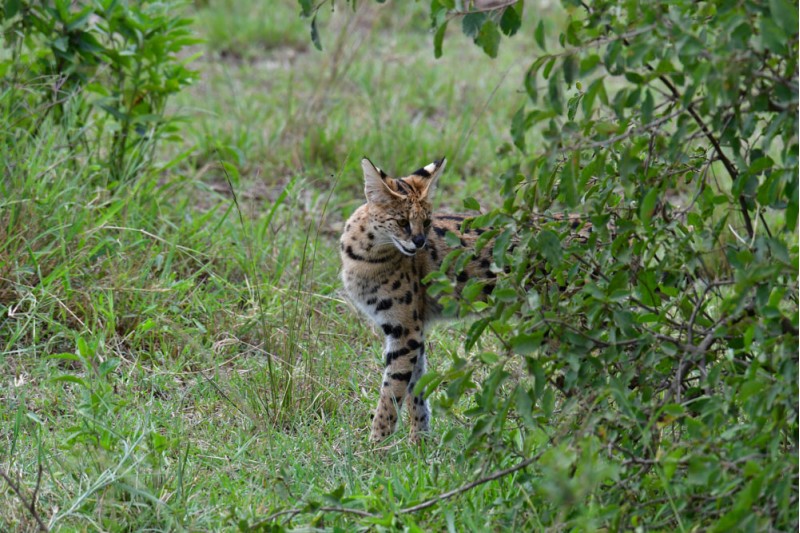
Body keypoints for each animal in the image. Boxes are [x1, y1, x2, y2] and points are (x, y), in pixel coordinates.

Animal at [340, 158, 500, 444]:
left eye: (426, 222)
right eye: (402, 221)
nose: (420, 242)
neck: (364, 250)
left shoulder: (404, 329)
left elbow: (391, 392)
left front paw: (375, 446)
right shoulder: (413, 329)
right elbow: (416, 387)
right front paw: (420, 443)